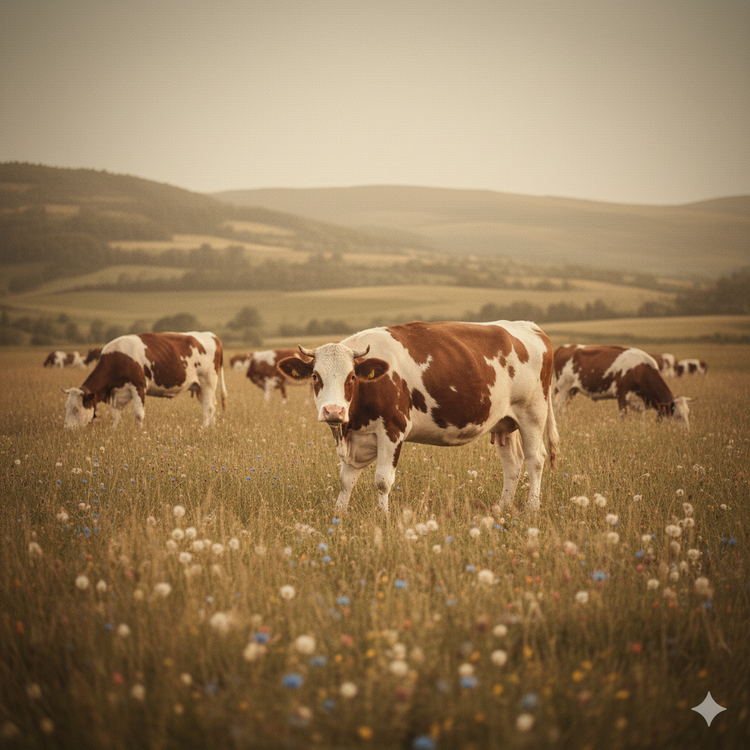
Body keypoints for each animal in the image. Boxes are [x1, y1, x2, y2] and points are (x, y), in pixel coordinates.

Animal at [62, 332, 227, 429]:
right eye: (66, 407)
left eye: (76, 409)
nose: (67, 429)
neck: (118, 358)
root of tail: (212, 336)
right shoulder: (118, 391)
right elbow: (115, 413)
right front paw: (114, 430)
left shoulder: (139, 386)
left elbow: (138, 413)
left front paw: (139, 433)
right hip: (200, 387)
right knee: (211, 405)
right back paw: (211, 427)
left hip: (208, 382)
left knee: (208, 407)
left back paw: (205, 428)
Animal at [278, 320, 559, 514]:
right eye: (315, 377)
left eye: (352, 377)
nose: (334, 411)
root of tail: (530, 327)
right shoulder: (355, 437)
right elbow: (345, 480)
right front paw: (339, 513)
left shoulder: (393, 430)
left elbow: (382, 480)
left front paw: (382, 515)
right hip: (503, 422)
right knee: (512, 464)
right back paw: (502, 507)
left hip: (532, 412)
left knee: (535, 460)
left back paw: (531, 508)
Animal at [553, 344, 690, 429]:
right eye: (677, 415)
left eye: (687, 414)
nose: (686, 432)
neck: (641, 370)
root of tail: (564, 347)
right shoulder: (623, 394)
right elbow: (623, 415)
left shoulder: (638, 401)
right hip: (564, 388)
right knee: (559, 407)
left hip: (571, 390)